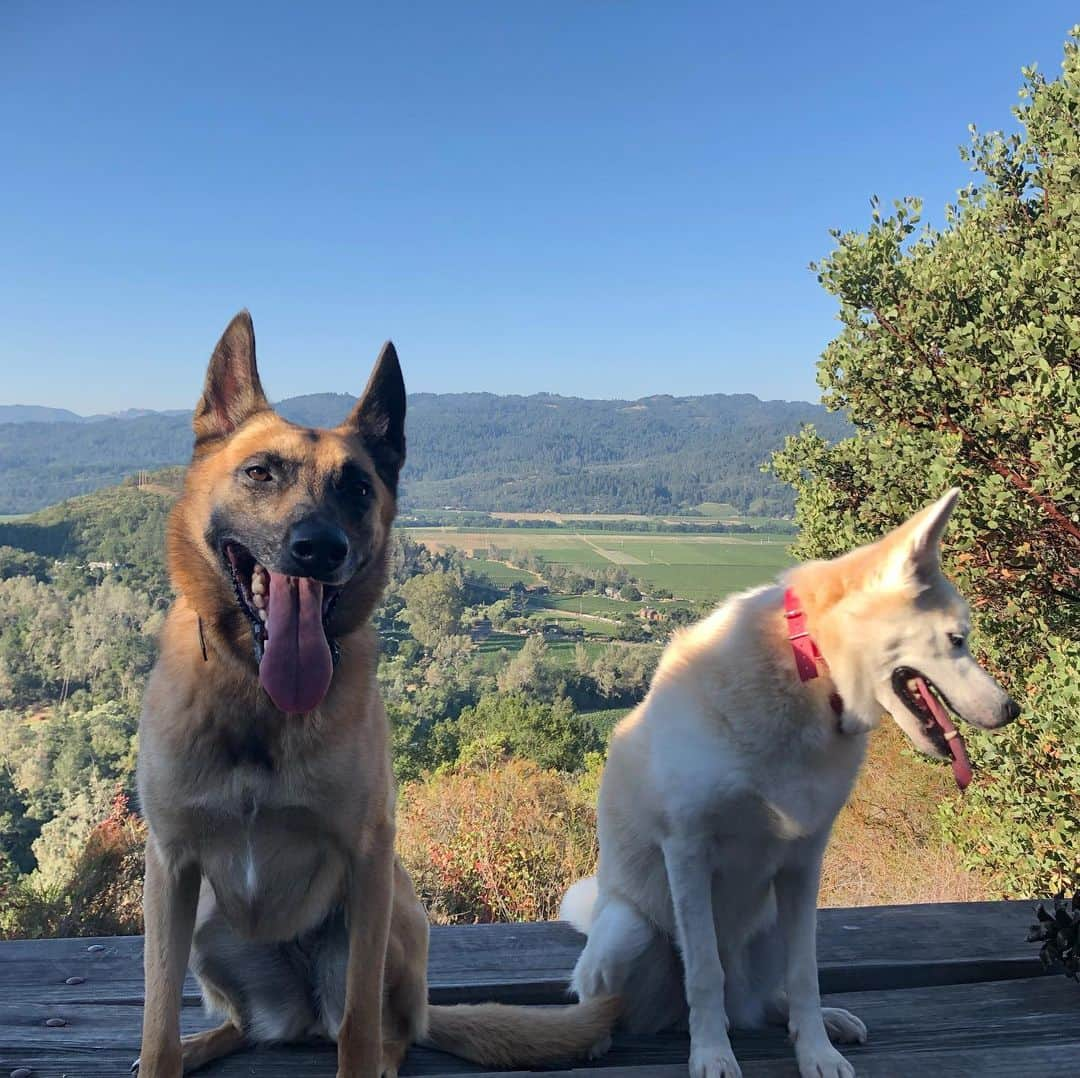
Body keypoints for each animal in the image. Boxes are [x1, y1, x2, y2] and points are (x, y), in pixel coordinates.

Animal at [135, 315, 613, 1078]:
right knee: (243, 1025)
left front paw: (363, 1058)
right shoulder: (171, 867)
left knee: (391, 1028)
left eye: (358, 488)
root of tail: (298, 1017)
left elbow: (359, 1025)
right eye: (260, 472)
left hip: (396, 911)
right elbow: (156, 1020)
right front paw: (164, 1053)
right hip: (209, 923)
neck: (259, 701)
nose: (318, 547)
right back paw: (208, 1042)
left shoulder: (366, 860)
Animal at [565, 492, 1019, 1078]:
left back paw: (825, 1020)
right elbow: (703, 972)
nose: (1012, 710)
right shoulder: (687, 849)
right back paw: (597, 1035)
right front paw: (712, 1053)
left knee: (771, 998)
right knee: (609, 996)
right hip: (626, 931)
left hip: (771, 924)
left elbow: (805, 973)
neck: (810, 674)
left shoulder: (804, 861)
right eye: (957, 640)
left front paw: (816, 1052)